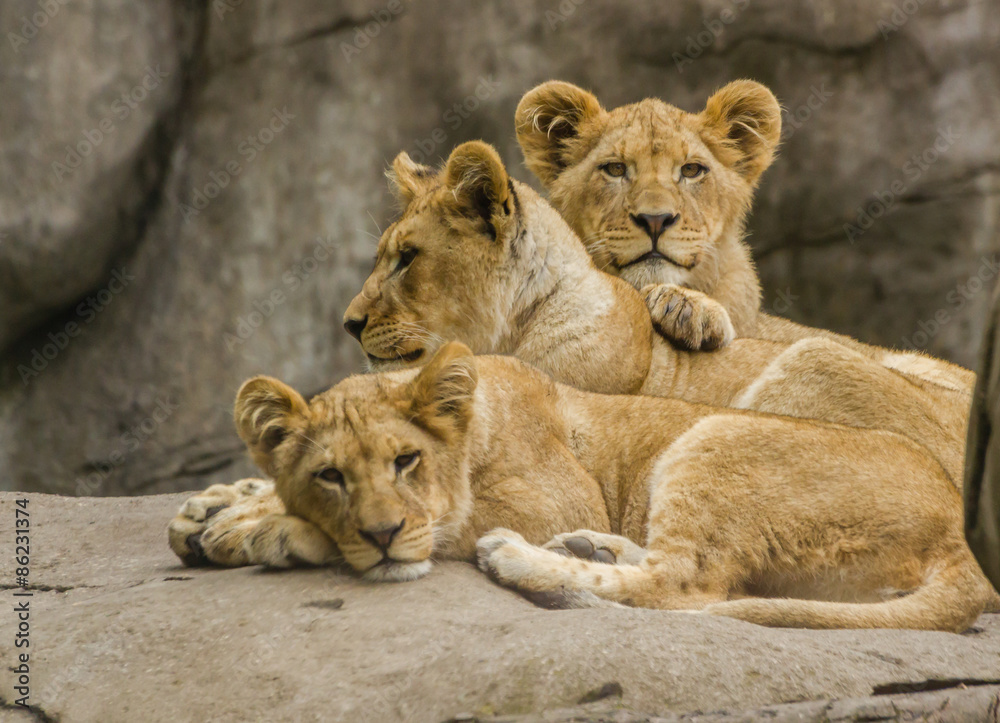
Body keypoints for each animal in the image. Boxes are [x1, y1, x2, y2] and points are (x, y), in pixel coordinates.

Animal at [168, 343, 992, 632]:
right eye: (331, 475)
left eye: (406, 460)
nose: (379, 532)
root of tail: (964, 541)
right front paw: (216, 505)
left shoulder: (551, 495)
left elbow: (438, 525)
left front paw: (259, 528)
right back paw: (588, 549)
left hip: (715, 437)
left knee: (682, 586)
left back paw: (524, 559)